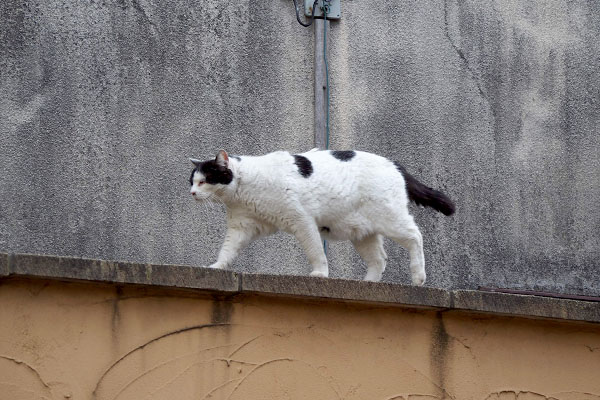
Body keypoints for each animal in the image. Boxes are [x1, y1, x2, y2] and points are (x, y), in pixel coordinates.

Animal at [190, 149, 452, 284]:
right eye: (191, 181)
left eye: (204, 181)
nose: (191, 193)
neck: (245, 186)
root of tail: (395, 164)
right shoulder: (241, 226)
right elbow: (227, 250)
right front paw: (216, 267)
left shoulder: (302, 220)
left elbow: (315, 250)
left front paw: (320, 273)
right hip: (362, 232)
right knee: (380, 259)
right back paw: (367, 282)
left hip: (390, 218)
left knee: (415, 235)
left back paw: (418, 276)